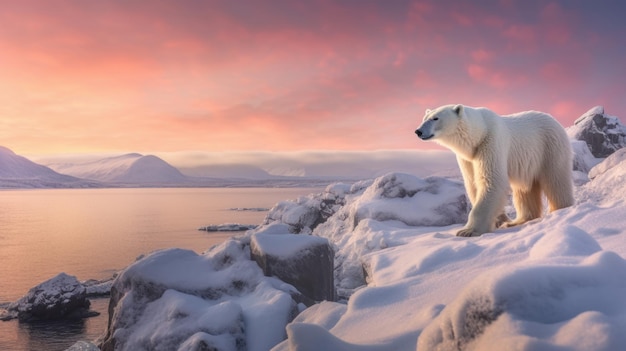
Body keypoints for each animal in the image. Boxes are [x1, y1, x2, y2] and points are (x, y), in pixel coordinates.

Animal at [412, 104, 572, 236]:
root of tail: (554, 120)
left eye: (435, 118)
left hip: (549, 147)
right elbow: (473, 184)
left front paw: (468, 231)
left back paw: (561, 209)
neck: (478, 134)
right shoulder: (468, 158)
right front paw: (501, 220)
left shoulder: (491, 143)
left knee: (556, 180)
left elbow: (491, 179)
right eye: (424, 118)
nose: (418, 131)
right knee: (524, 190)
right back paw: (518, 221)